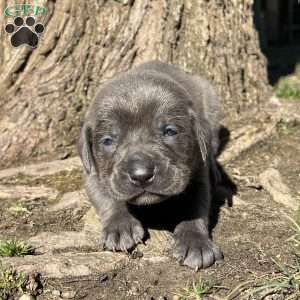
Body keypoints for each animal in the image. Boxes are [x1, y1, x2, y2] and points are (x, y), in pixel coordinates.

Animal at [78, 60, 224, 270]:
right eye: (108, 141)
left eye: (170, 131)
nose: (141, 175)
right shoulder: (92, 174)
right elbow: (107, 197)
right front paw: (120, 225)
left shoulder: (197, 172)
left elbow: (195, 207)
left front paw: (195, 242)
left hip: (211, 101)